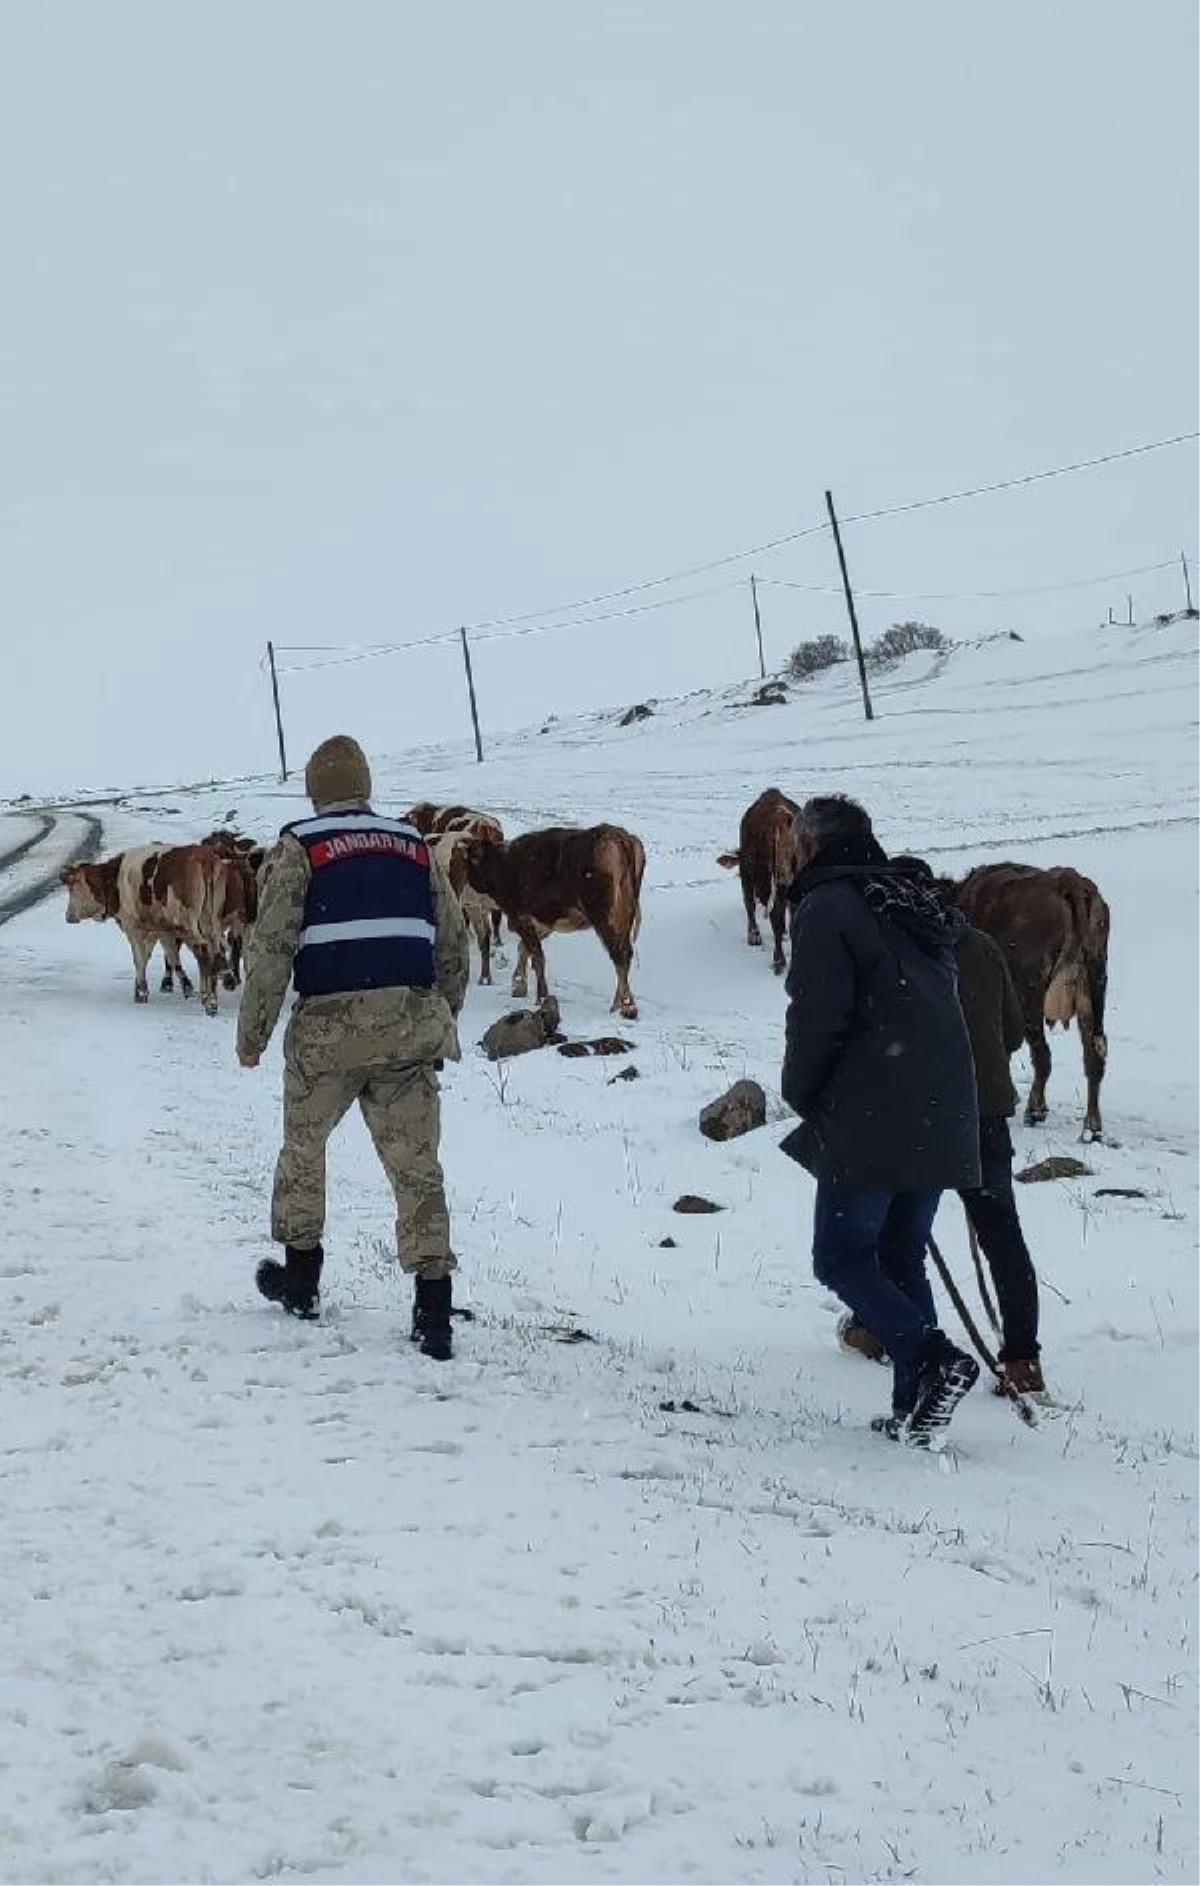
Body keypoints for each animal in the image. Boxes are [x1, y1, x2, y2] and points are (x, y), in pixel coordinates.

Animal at [462, 826, 645, 1025]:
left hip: (607, 917)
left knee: (619, 955)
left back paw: (626, 1006)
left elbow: (537, 956)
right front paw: (519, 985)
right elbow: (524, 949)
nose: (468, 889)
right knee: (625, 955)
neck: (503, 864)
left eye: (471, 859)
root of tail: (619, 837)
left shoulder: (520, 916)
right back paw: (620, 1004)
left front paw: (541, 996)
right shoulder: (541, 923)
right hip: (625, 916)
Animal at [716, 788, 800, 980]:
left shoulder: (746, 875)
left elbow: (749, 904)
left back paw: (779, 961)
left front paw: (753, 937)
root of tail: (780, 815)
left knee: (774, 914)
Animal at [932, 863, 1109, 1139]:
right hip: (1093, 985)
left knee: (1042, 1055)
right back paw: (1091, 1127)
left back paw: (1034, 1110)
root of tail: (1068, 879)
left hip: (1029, 993)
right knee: (1094, 1056)